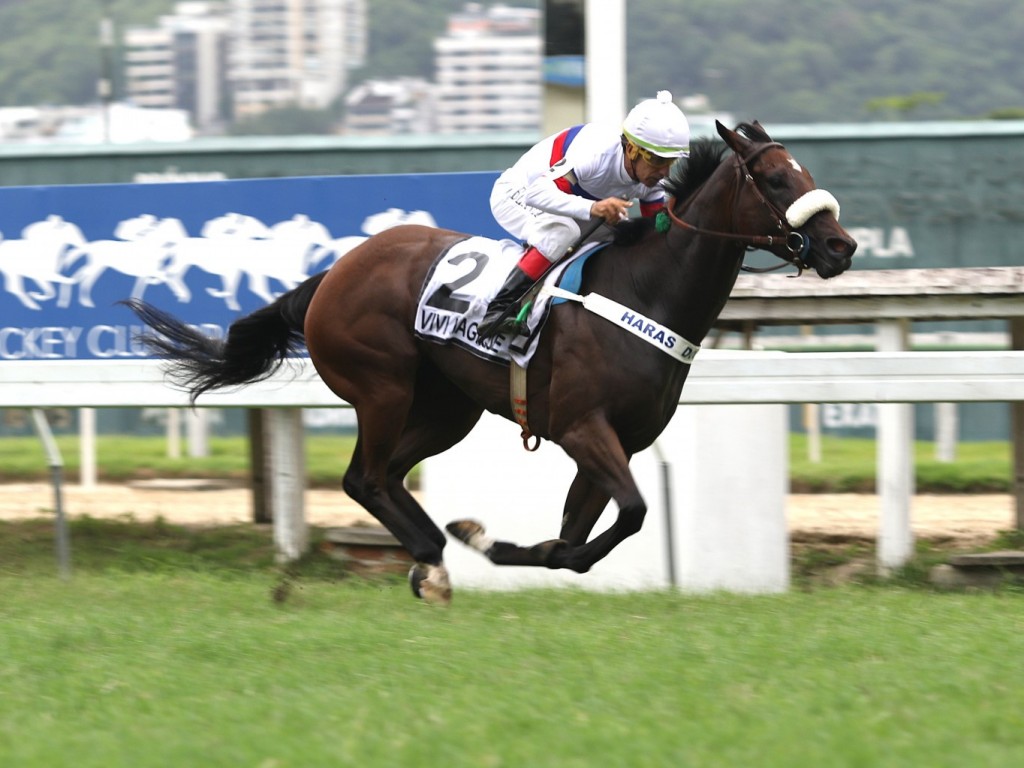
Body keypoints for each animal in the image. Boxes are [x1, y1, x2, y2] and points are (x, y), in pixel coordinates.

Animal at [121, 120, 856, 606]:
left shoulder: (615, 440)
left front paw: (494, 541)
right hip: (382, 389)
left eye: (807, 174)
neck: (643, 292)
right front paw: (486, 543)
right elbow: (633, 512)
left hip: (449, 408)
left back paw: (434, 555)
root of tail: (333, 272)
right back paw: (432, 557)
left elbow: (579, 541)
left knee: (387, 476)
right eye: (773, 178)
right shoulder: (583, 428)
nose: (840, 246)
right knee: (364, 478)